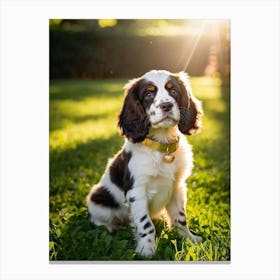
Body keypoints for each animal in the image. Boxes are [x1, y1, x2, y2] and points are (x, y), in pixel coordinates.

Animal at [86, 70, 202, 258]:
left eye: (174, 91)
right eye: (148, 94)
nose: (166, 106)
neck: (162, 147)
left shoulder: (177, 186)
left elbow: (180, 217)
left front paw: (189, 239)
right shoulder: (137, 191)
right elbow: (145, 224)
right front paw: (146, 250)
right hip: (98, 200)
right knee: (98, 220)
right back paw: (112, 227)